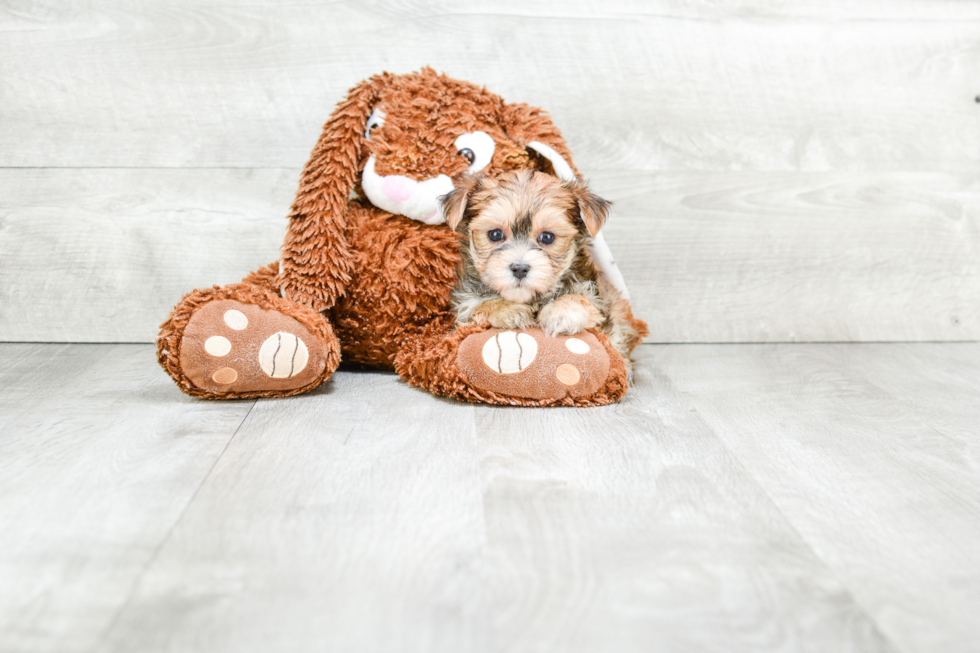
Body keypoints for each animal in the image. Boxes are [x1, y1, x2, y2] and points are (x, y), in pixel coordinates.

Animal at [442, 168, 644, 372]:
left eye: (547, 237)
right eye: (495, 234)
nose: (519, 268)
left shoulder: (598, 300)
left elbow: (582, 299)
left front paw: (562, 312)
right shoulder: (464, 304)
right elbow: (476, 304)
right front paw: (508, 310)